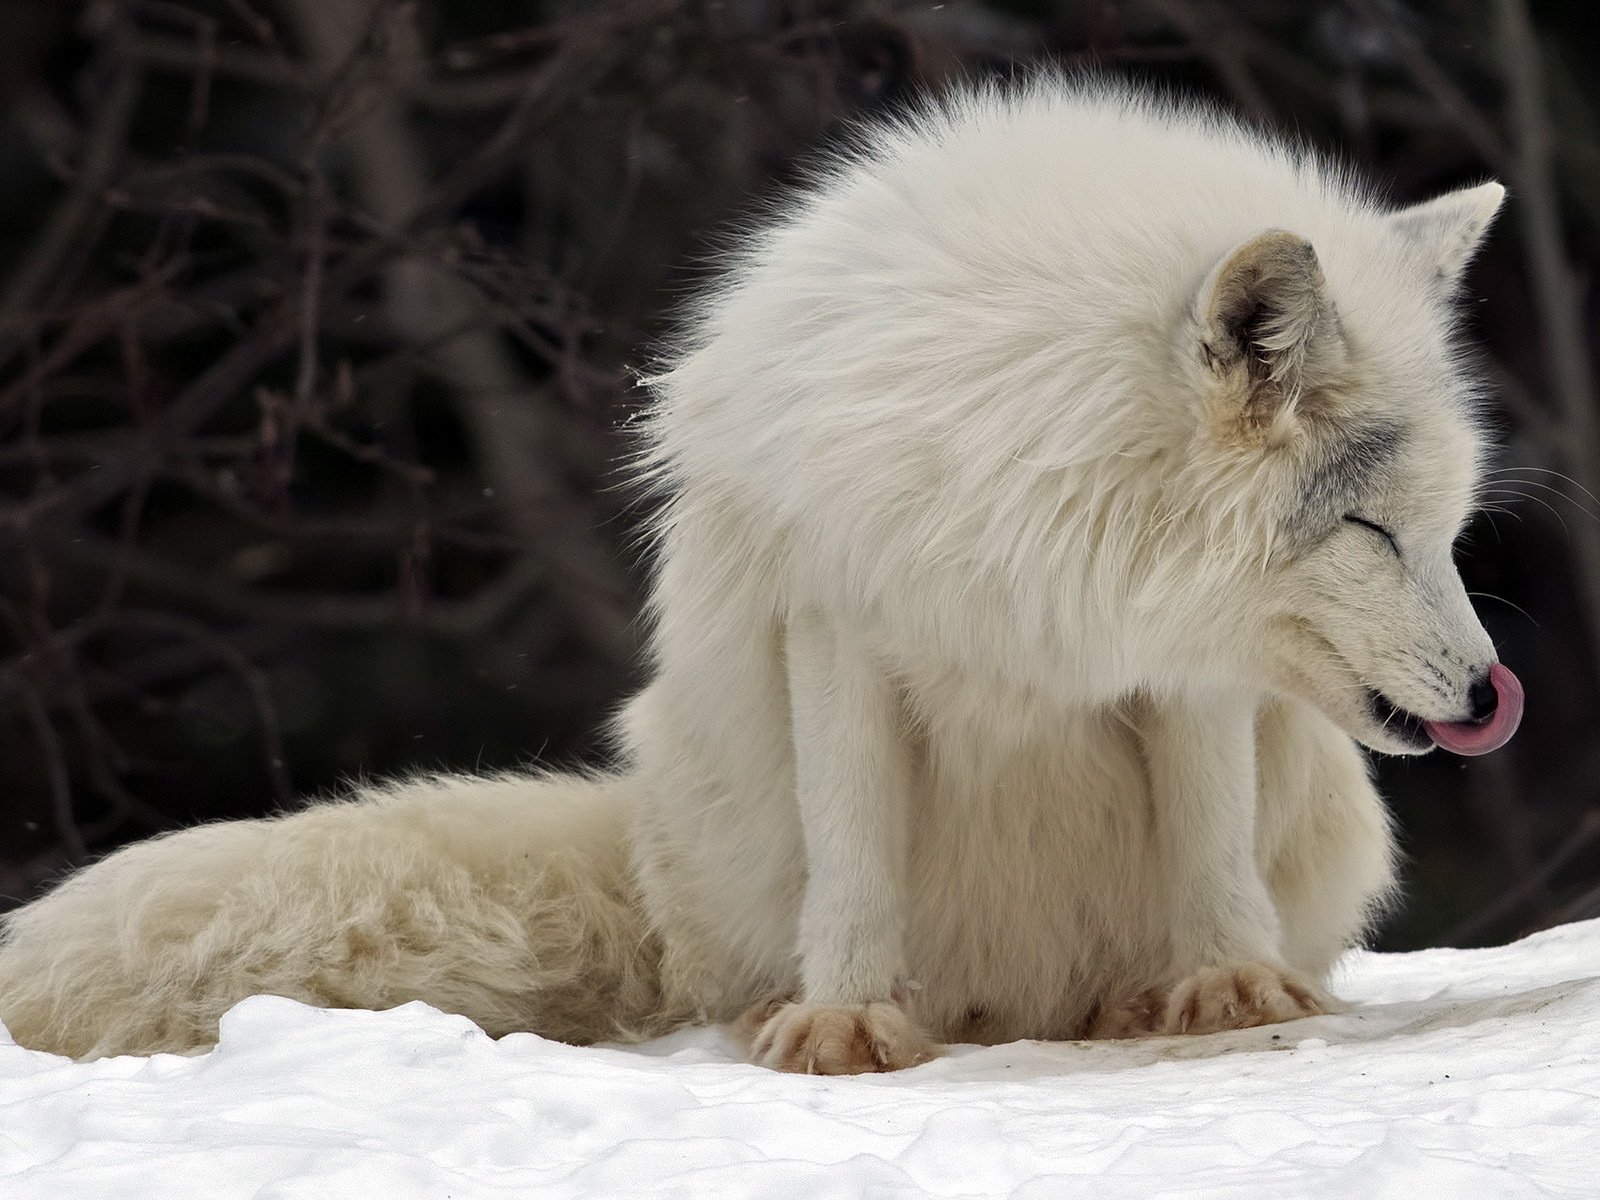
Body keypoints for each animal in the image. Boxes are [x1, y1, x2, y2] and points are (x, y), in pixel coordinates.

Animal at [0, 80, 1523, 1075]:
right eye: (1370, 532)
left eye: (1444, 532)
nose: (1488, 694)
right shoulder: (834, 618)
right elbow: (851, 864)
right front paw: (842, 1025)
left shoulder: (1171, 663)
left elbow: (1208, 847)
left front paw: (1225, 991)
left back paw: (1127, 1007)